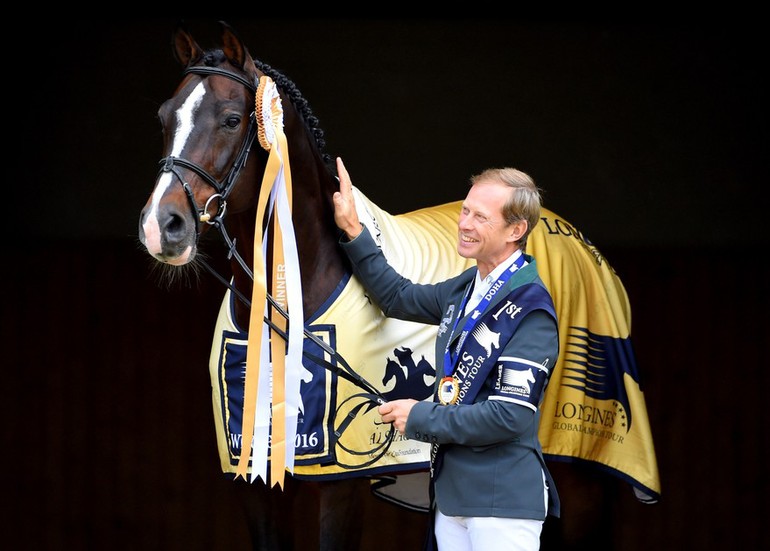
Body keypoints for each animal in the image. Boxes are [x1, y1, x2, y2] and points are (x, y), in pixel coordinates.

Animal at [138, 20, 660, 551]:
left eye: (230, 119)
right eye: (164, 118)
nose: (163, 226)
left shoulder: (340, 485)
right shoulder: (254, 478)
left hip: (582, 479)